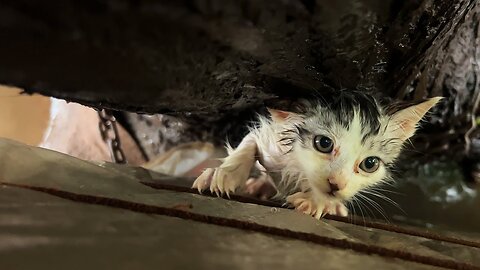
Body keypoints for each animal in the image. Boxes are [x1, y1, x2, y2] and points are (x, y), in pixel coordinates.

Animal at [192, 90, 442, 219]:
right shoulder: (273, 139)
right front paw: (224, 174)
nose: (336, 184)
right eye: (323, 144)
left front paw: (318, 201)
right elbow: (249, 145)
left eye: (369, 164)